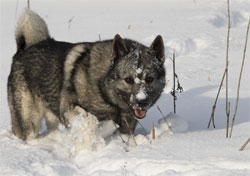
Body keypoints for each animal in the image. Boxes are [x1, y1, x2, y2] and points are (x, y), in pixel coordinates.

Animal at [7, 8, 166, 140]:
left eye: (149, 79)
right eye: (128, 80)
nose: (142, 101)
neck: (104, 88)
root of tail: (25, 48)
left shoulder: (126, 127)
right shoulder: (68, 109)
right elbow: (89, 120)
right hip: (29, 121)